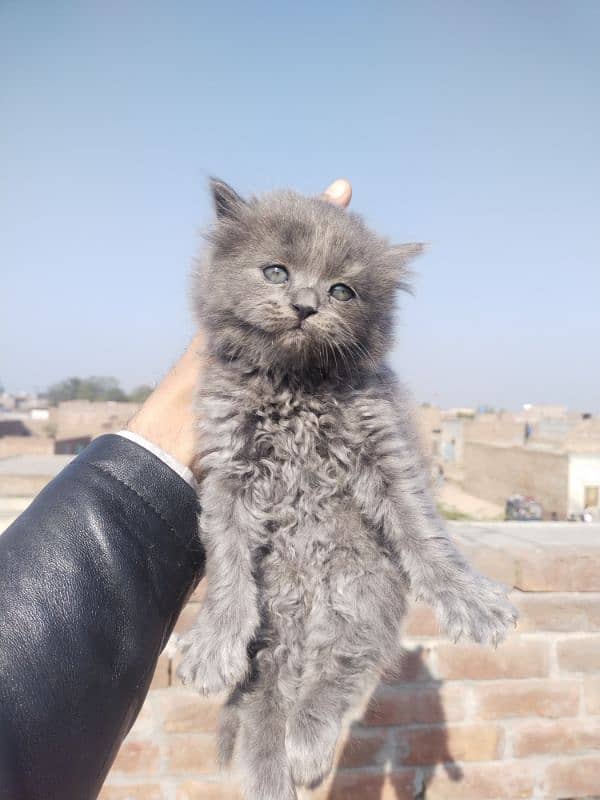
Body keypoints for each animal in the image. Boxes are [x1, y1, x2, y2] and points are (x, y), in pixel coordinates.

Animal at [177, 178, 516, 796]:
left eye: (342, 290)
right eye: (276, 272)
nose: (305, 306)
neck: (295, 384)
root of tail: (301, 621)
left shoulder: (387, 448)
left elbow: (424, 532)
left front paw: (470, 599)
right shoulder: (227, 467)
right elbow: (228, 565)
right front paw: (215, 644)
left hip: (364, 593)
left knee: (342, 673)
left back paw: (309, 745)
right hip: (271, 648)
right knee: (264, 715)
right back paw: (284, 770)